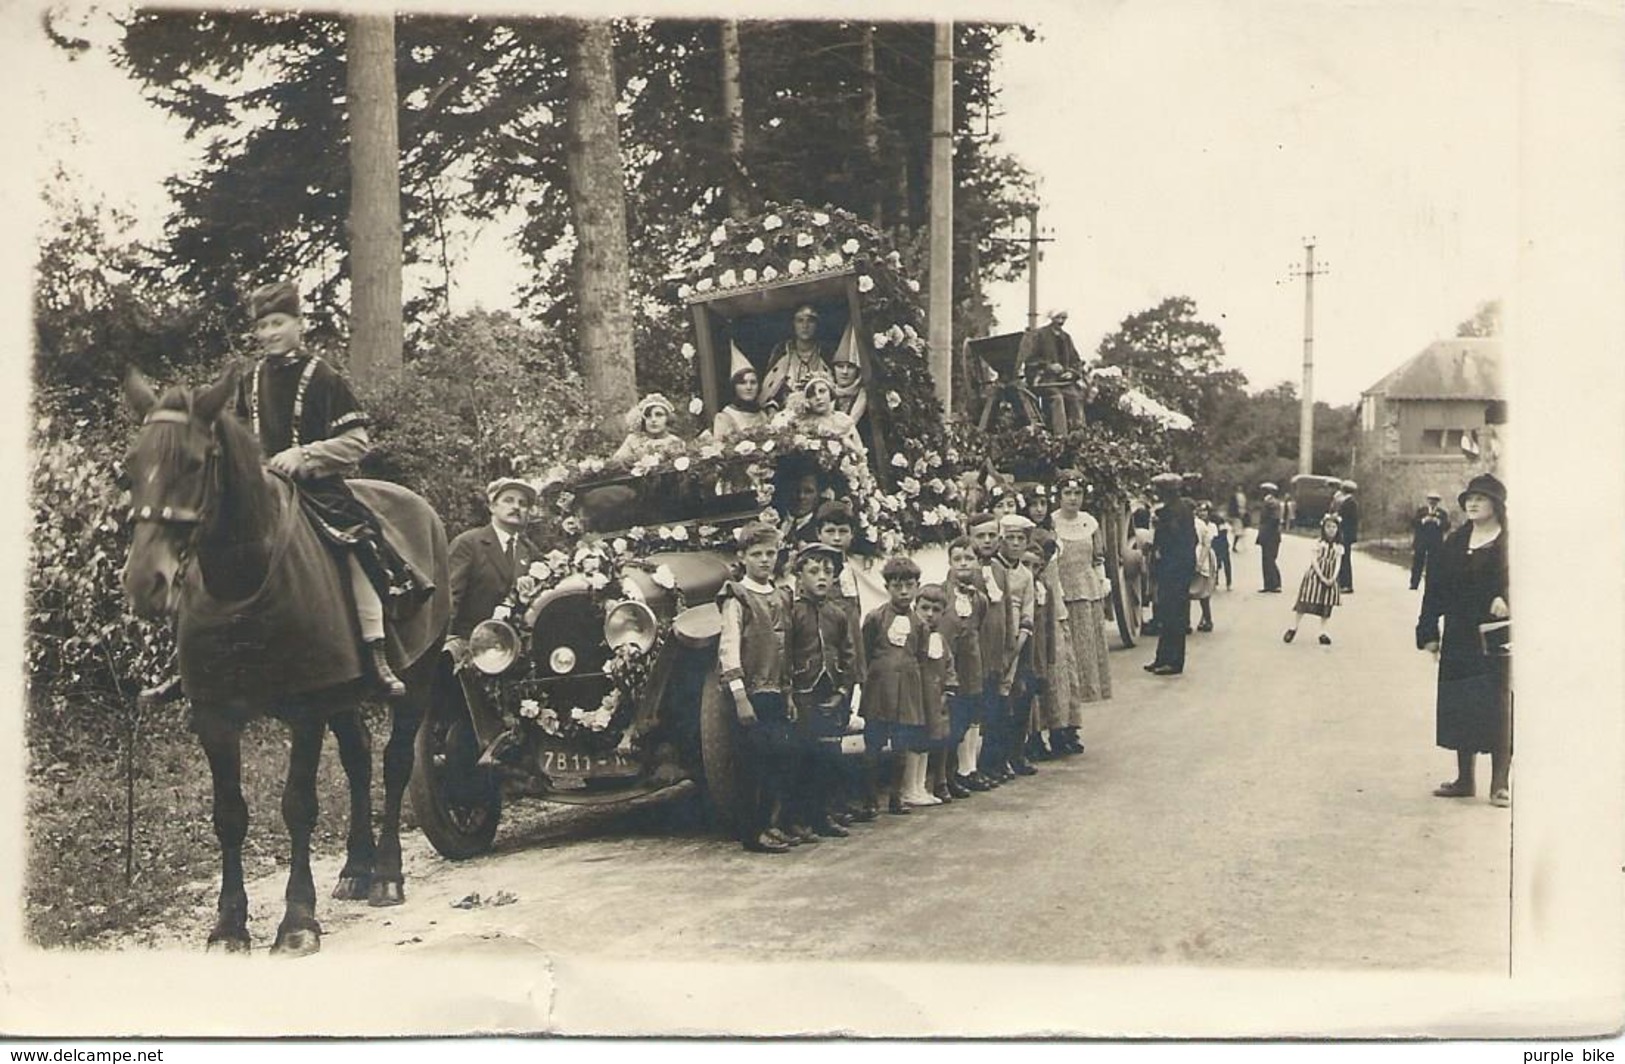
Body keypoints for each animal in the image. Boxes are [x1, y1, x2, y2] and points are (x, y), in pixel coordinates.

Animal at [119, 368, 451, 955]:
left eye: (194, 463)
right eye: (131, 467)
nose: (144, 582)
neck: (242, 582)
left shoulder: (306, 710)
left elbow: (298, 806)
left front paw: (298, 921)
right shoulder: (215, 716)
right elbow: (229, 815)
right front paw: (229, 924)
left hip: (417, 679)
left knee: (394, 762)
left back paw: (386, 874)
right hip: (344, 699)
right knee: (359, 758)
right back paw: (356, 868)